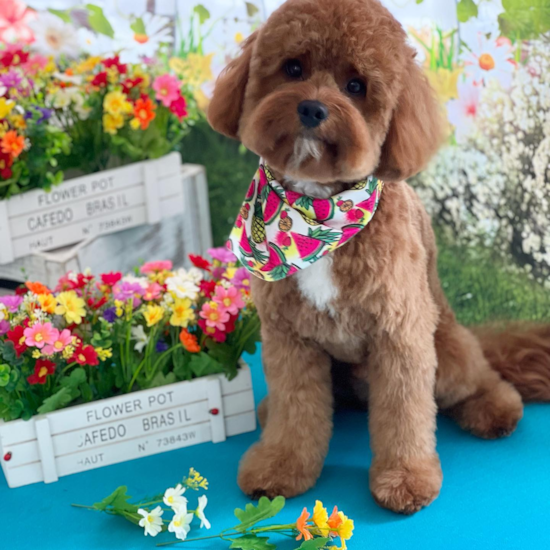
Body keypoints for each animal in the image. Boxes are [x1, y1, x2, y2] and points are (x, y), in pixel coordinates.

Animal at [206, 0, 550, 516]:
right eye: (293, 68)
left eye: (356, 86)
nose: (312, 108)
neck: (316, 215)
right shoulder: (287, 338)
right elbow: (294, 408)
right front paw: (279, 466)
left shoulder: (400, 334)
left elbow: (405, 414)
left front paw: (407, 480)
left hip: (446, 351)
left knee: (477, 378)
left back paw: (495, 408)